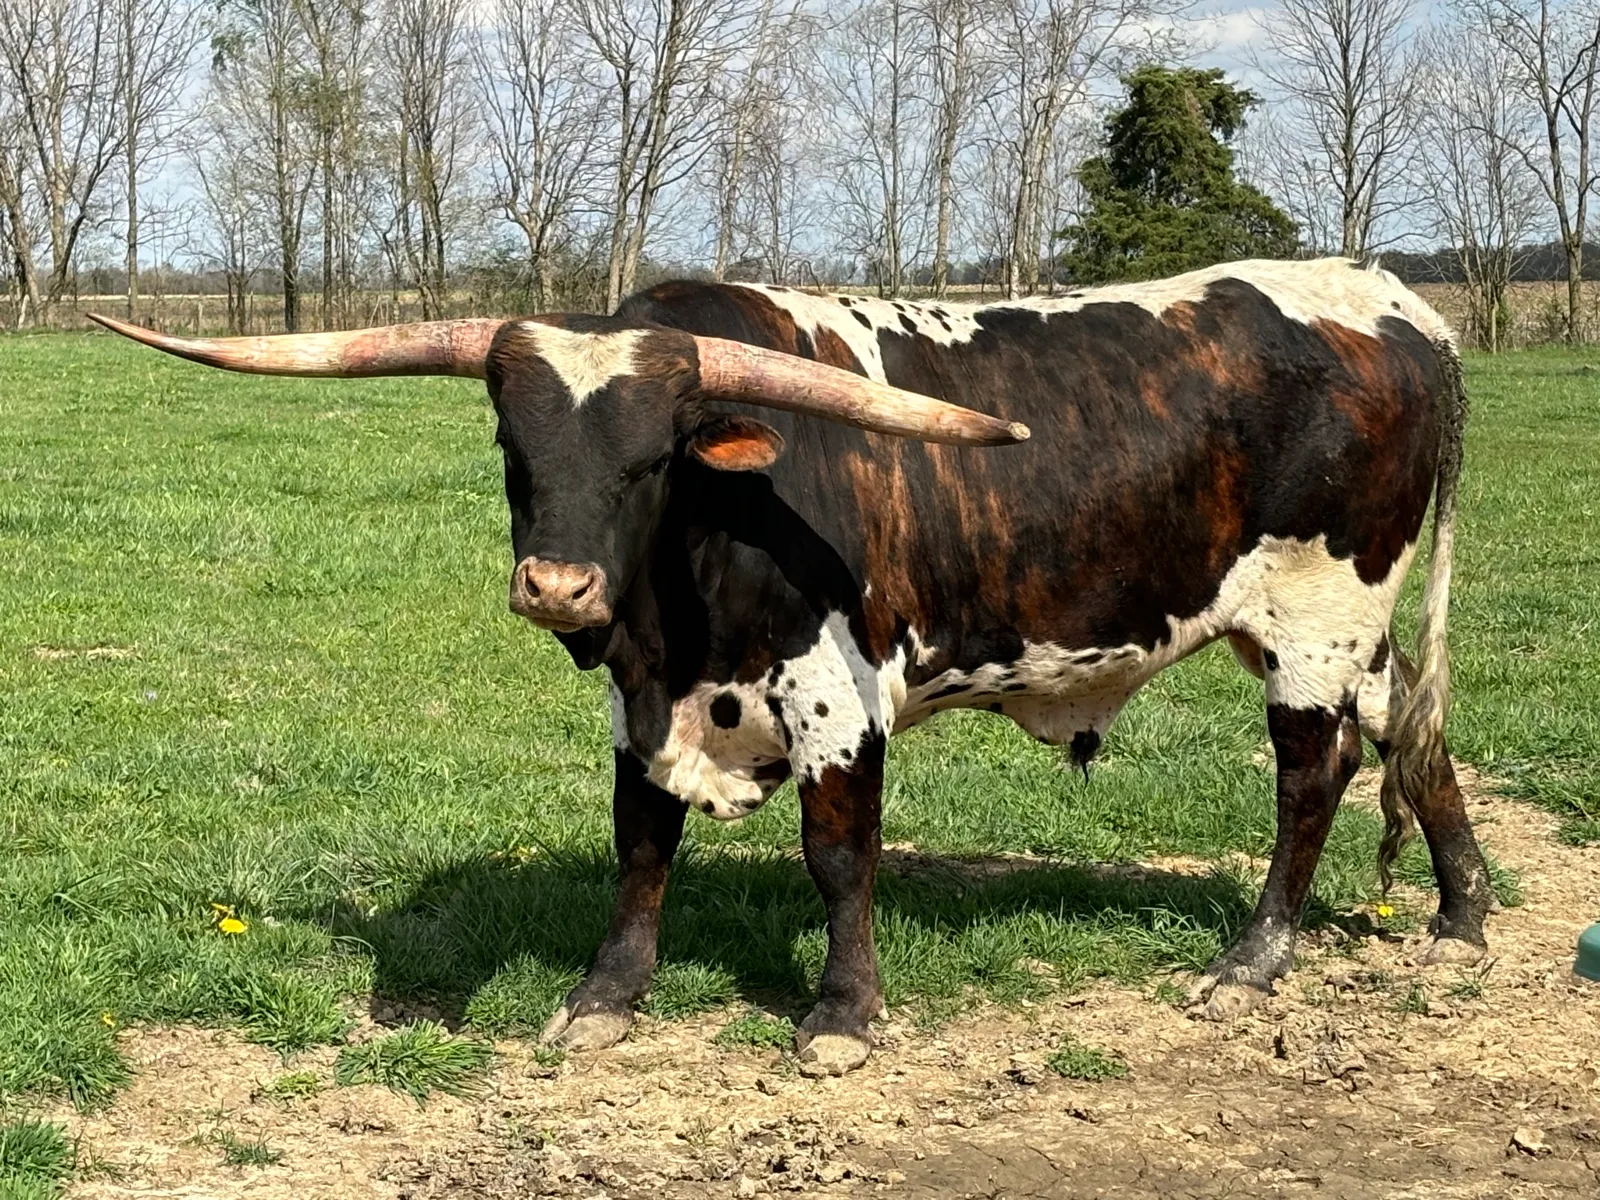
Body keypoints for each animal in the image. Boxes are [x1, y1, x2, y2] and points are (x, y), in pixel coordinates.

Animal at [92, 257, 1494, 1077]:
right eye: (513, 445)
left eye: (655, 455)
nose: (558, 587)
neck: (683, 607)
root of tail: (1401, 305)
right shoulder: (642, 700)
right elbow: (640, 844)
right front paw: (606, 995)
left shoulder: (835, 693)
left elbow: (838, 855)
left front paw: (841, 1014)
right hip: (1348, 632)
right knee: (1413, 741)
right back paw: (1463, 912)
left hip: (1318, 615)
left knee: (1310, 781)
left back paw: (1251, 964)